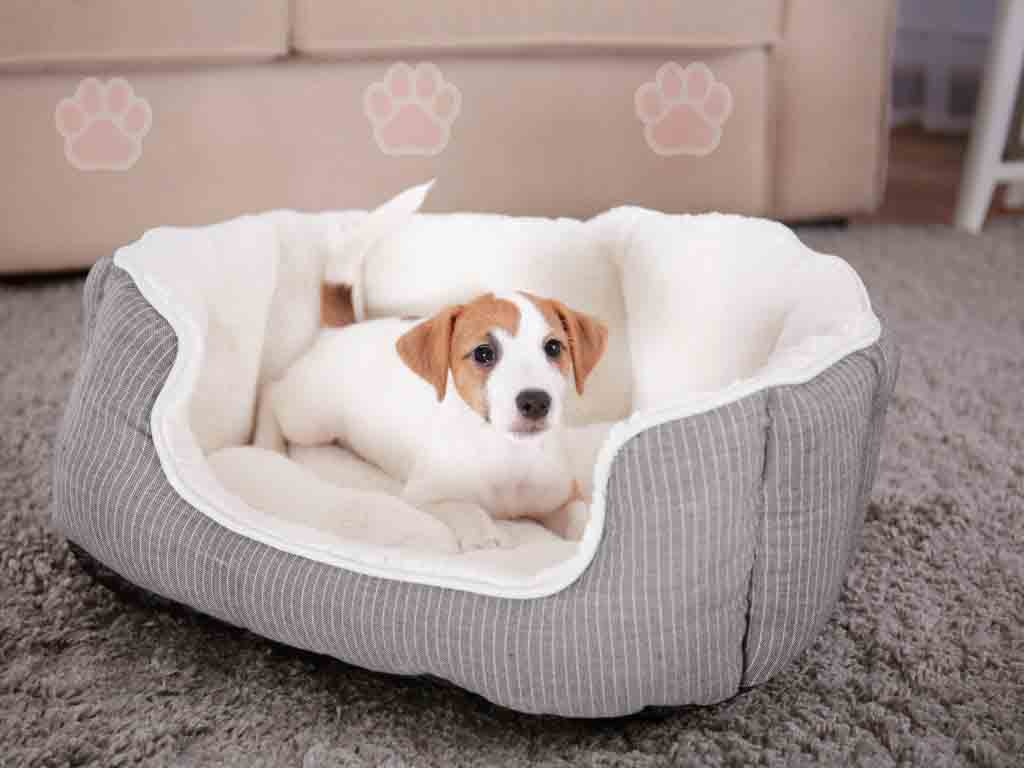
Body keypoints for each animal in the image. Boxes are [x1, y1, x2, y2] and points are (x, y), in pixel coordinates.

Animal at [253, 290, 606, 548]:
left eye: (554, 347)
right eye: (483, 353)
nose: (535, 402)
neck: (507, 452)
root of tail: (336, 332)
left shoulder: (561, 495)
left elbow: (580, 514)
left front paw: (586, 535)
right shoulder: (425, 496)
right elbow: (466, 508)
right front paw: (485, 537)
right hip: (309, 419)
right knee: (271, 391)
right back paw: (267, 447)